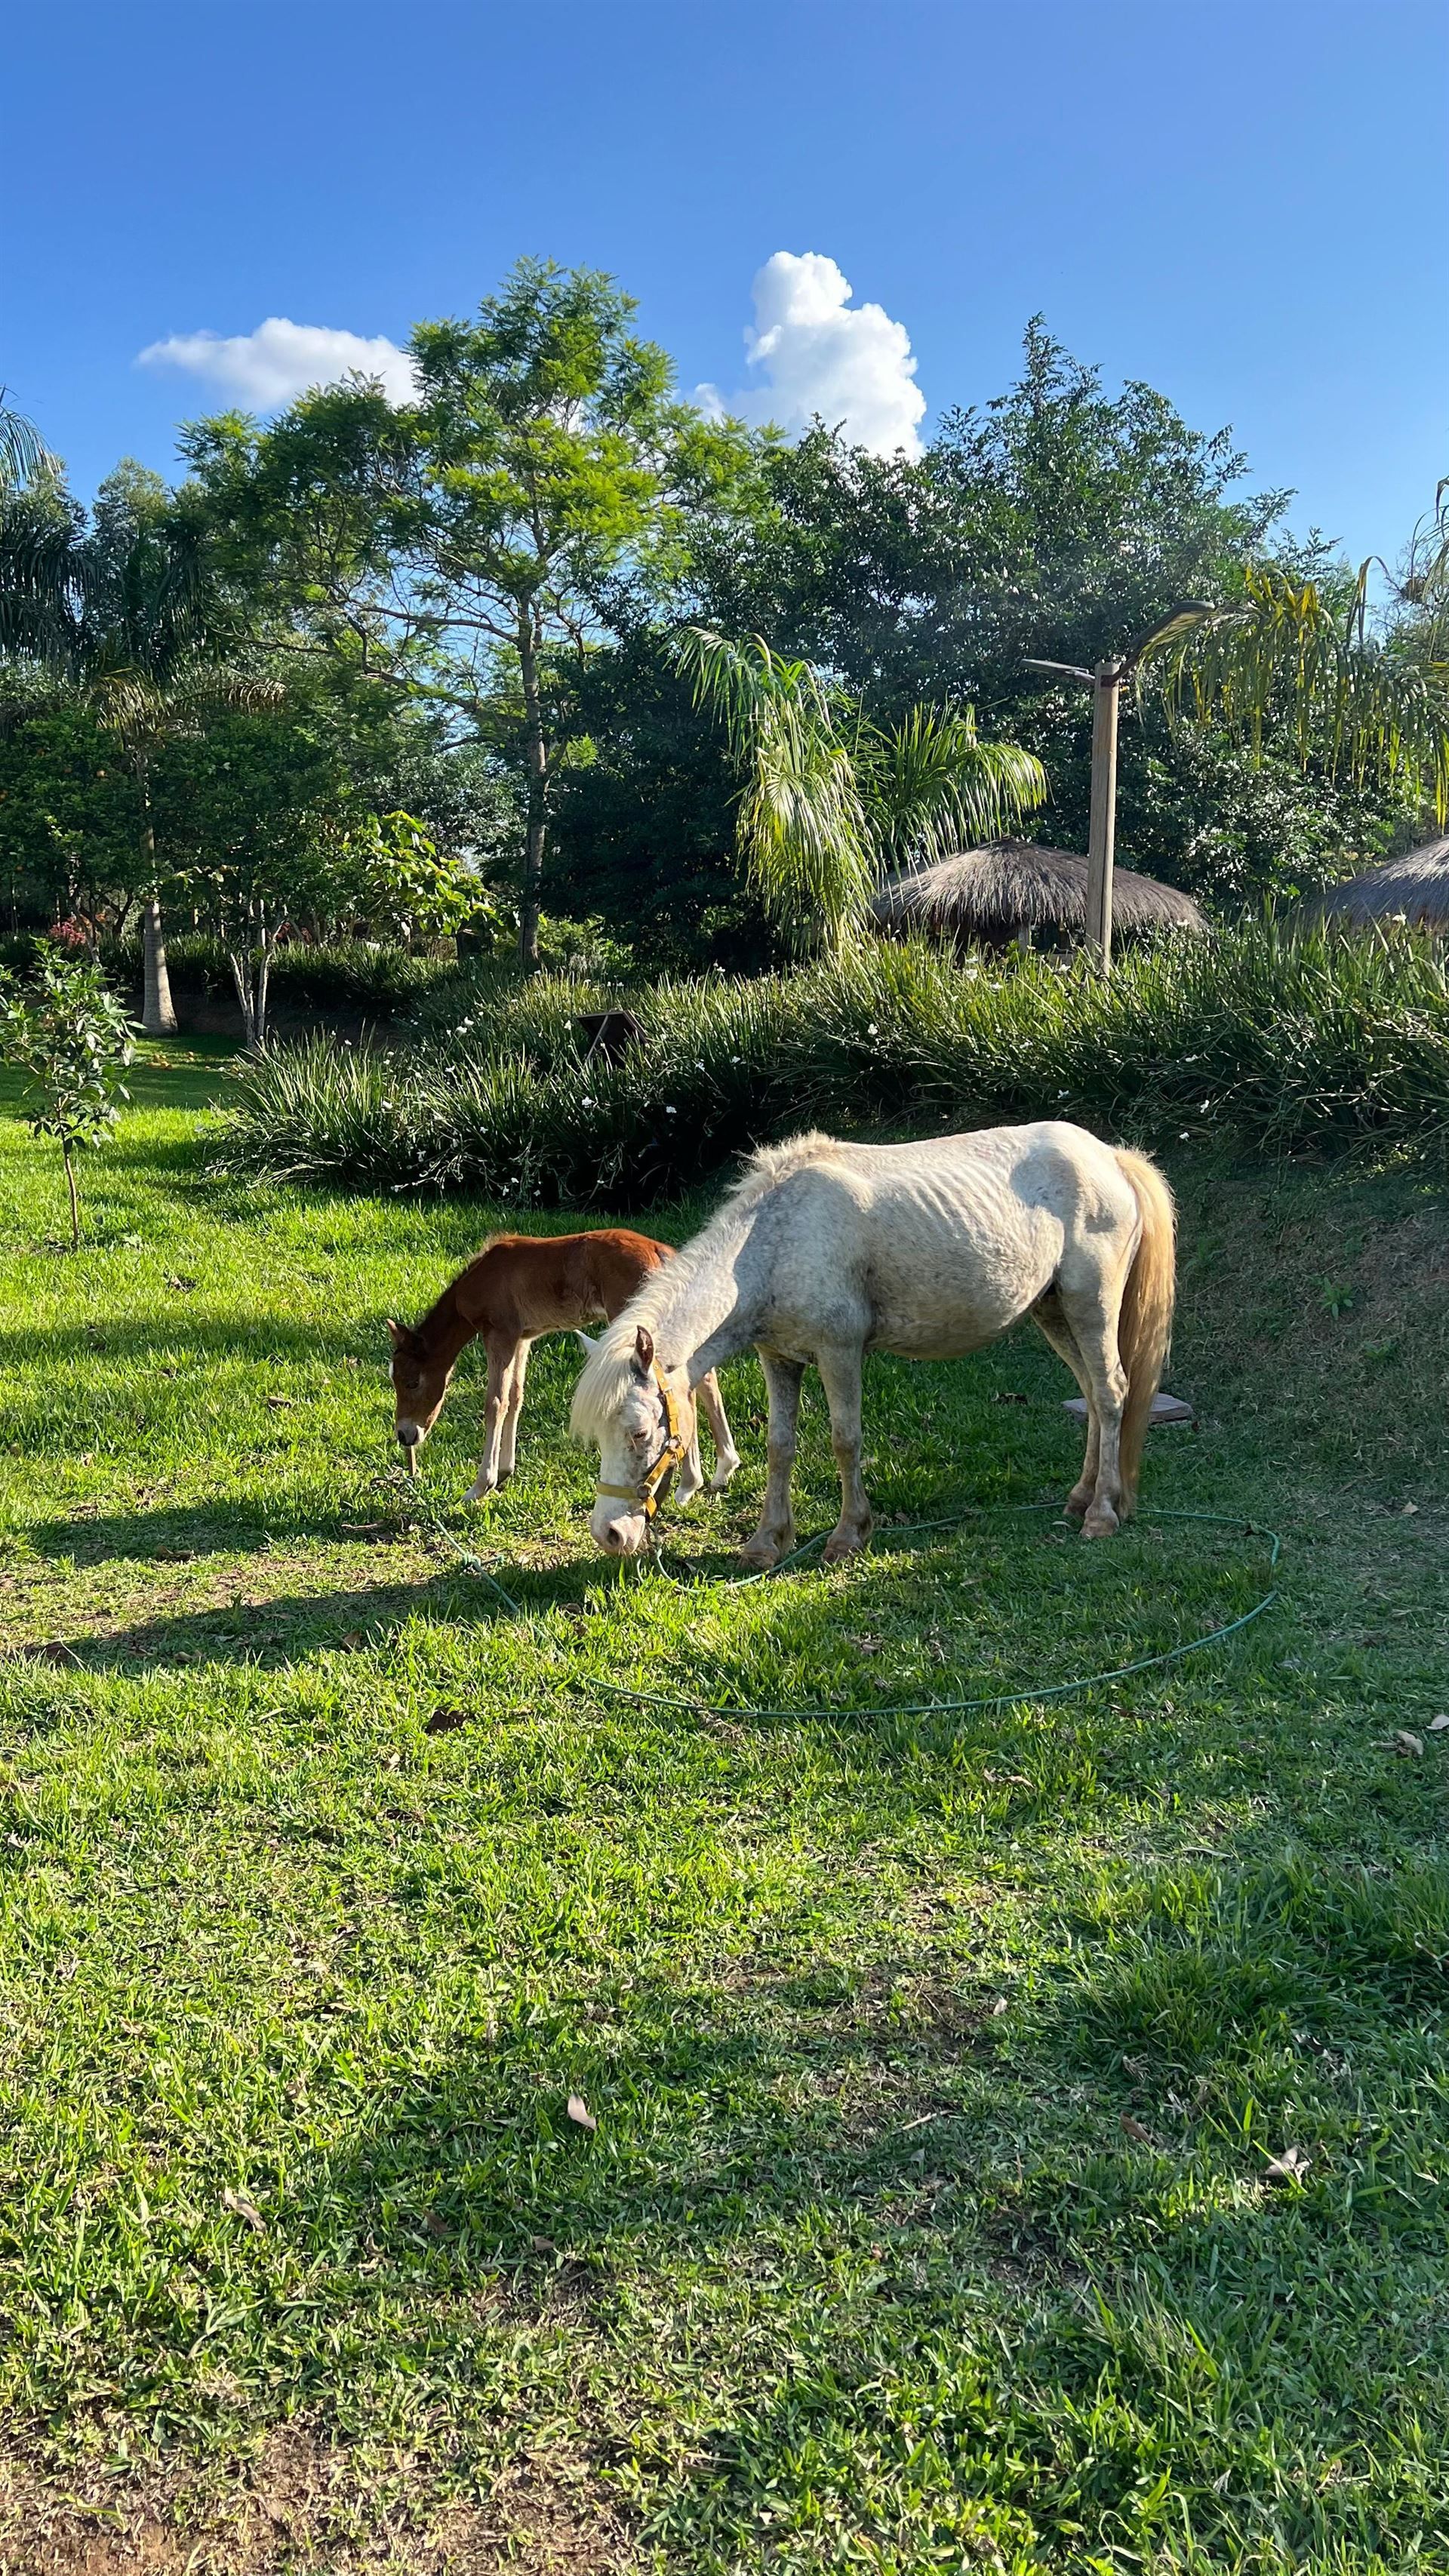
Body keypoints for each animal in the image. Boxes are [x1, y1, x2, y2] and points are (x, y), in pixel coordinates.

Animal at [388, 1228, 741, 1503]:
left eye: (412, 1382)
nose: (405, 1435)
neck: (480, 1278)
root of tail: (663, 1252)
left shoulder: (499, 1332)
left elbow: (495, 1402)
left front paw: (480, 1485)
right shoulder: (523, 1337)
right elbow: (515, 1397)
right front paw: (505, 1470)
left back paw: (691, 1482)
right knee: (704, 1376)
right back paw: (722, 1469)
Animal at [570, 1124, 1175, 1564]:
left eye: (641, 1432)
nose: (609, 1535)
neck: (771, 1244)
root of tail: (1111, 1156)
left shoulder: (839, 1353)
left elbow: (845, 1440)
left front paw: (849, 1534)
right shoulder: (779, 1358)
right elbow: (780, 1446)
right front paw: (767, 1543)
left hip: (1090, 1305)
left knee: (1112, 1393)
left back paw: (1101, 1513)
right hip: (1054, 1311)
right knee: (1092, 1395)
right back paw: (1081, 1497)